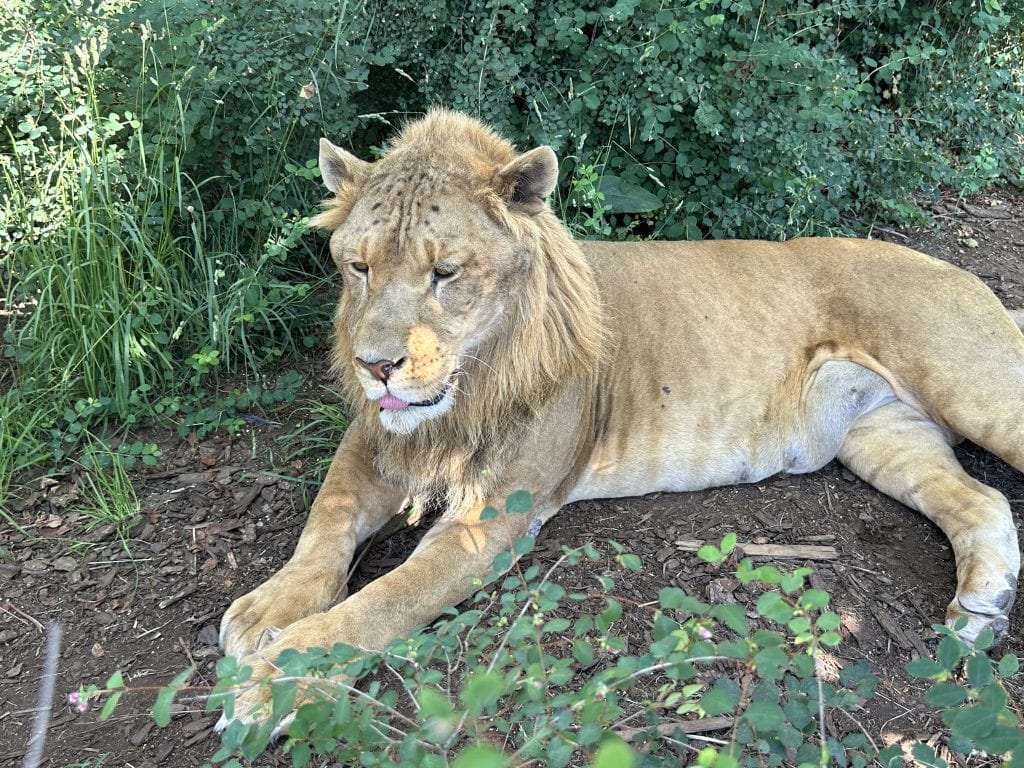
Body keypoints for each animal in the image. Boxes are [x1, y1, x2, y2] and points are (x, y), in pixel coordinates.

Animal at [219, 109, 1022, 724]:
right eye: (358, 267)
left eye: (444, 273)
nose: (375, 365)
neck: (467, 389)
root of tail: (958, 269)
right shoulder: (375, 441)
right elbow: (325, 523)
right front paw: (264, 612)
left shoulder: (492, 518)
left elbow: (386, 601)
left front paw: (276, 682)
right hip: (884, 435)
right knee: (984, 501)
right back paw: (980, 610)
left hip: (975, 390)